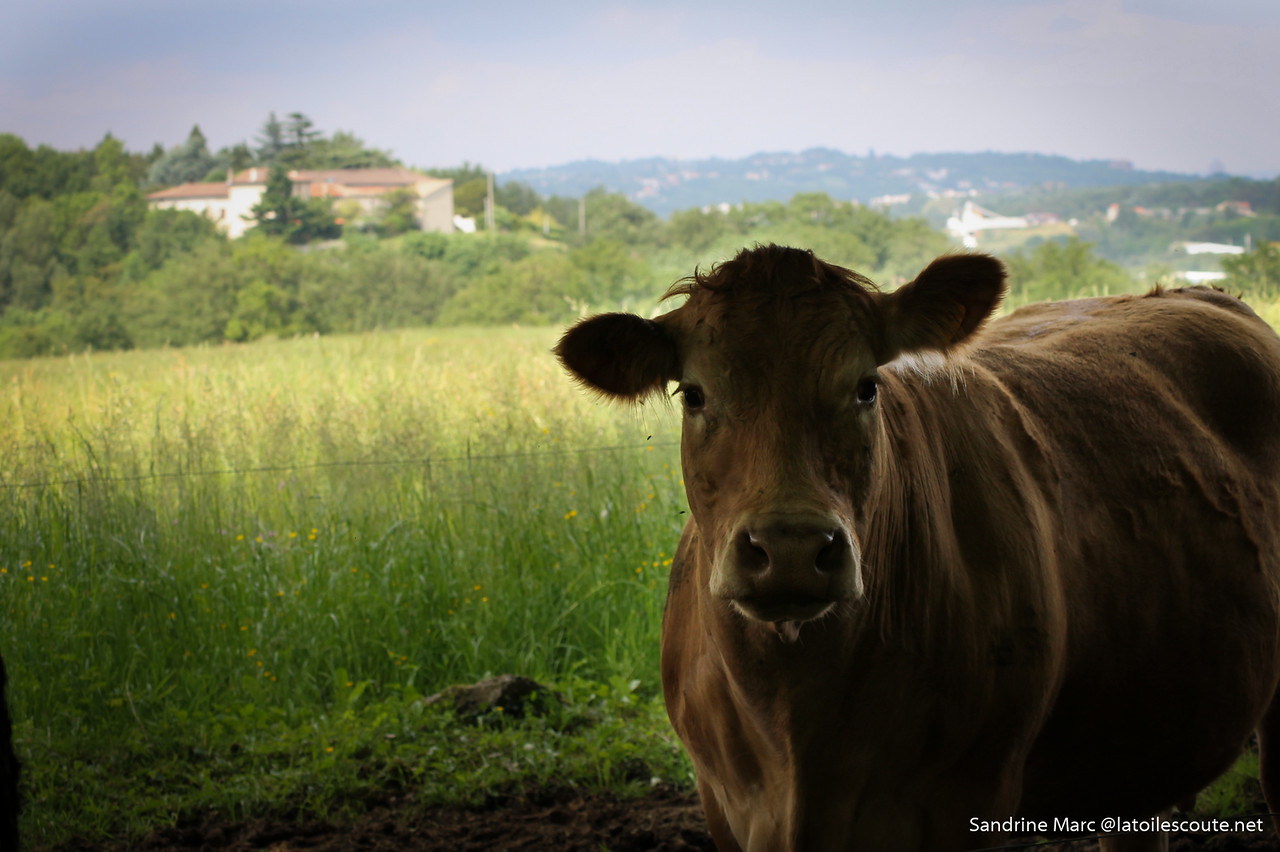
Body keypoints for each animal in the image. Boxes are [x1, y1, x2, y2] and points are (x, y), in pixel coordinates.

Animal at [555, 244, 1280, 849]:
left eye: (866, 386)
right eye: (695, 394)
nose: (790, 547)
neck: (796, 733)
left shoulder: (964, 805)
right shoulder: (726, 806)